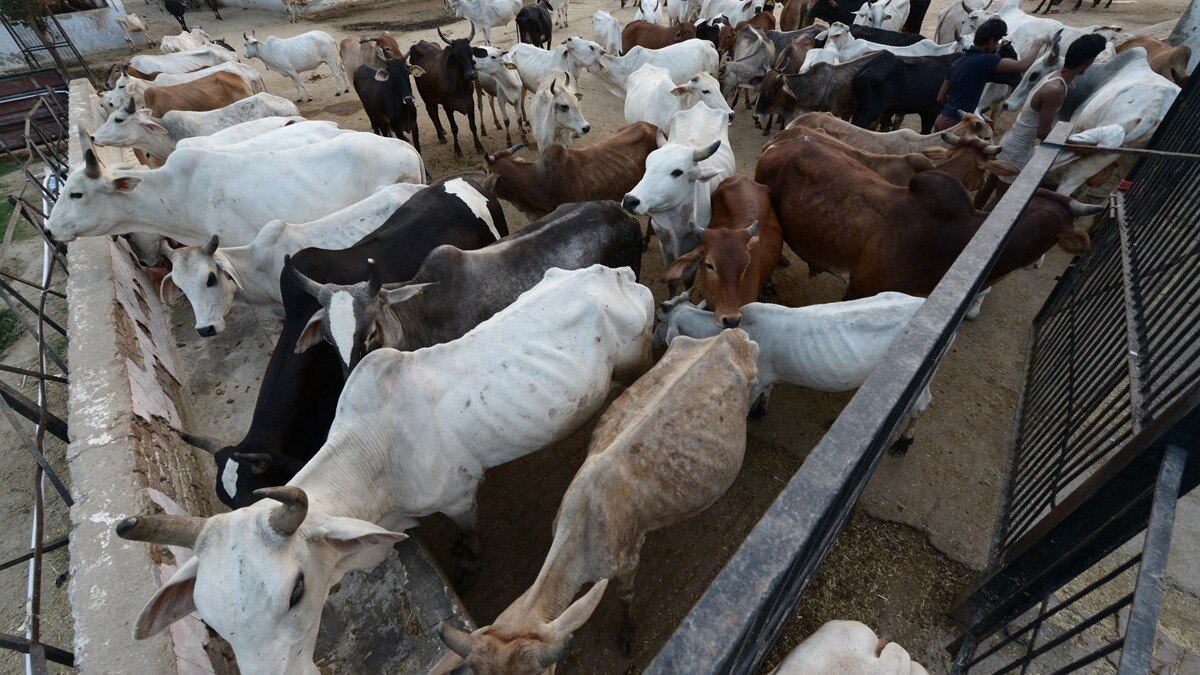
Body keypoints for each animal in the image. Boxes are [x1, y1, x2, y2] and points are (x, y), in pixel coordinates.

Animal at [115, 265, 653, 674]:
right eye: (210, 618)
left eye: (296, 591)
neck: (377, 454)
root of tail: (616, 275)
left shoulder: (459, 496)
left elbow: (470, 534)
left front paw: (468, 560)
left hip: (638, 362)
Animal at [410, 28, 486, 157]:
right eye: (455, 55)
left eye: (470, 51)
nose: (471, 74)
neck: (460, 86)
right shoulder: (448, 107)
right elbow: (454, 128)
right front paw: (457, 150)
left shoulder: (470, 103)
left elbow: (473, 126)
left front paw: (479, 146)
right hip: (423, 93)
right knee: (431, 112)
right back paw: (440, 136)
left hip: (433, 95)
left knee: (435, 111)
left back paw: (442, 130)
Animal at [434, 330, 758, 672]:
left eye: (542, 672)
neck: (581, 532)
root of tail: (729, 334)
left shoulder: (627, 558)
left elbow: (626, 596)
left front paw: (628, 633)